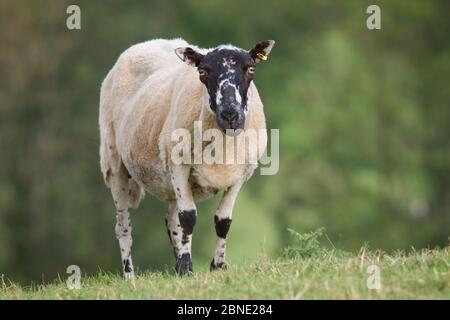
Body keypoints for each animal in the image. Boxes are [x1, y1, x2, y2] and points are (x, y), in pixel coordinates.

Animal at [99, 37, 274, 280]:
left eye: (251, 69)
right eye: (202, 72)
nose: (230, 114)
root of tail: (149, 42)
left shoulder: (241, 174)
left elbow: (223, 221)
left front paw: (218, 266)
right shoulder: (179, 165)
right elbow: (188, 218)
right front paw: (186, 269)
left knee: (171, 219)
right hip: (114, 162)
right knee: (123, 226)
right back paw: (130, 276)